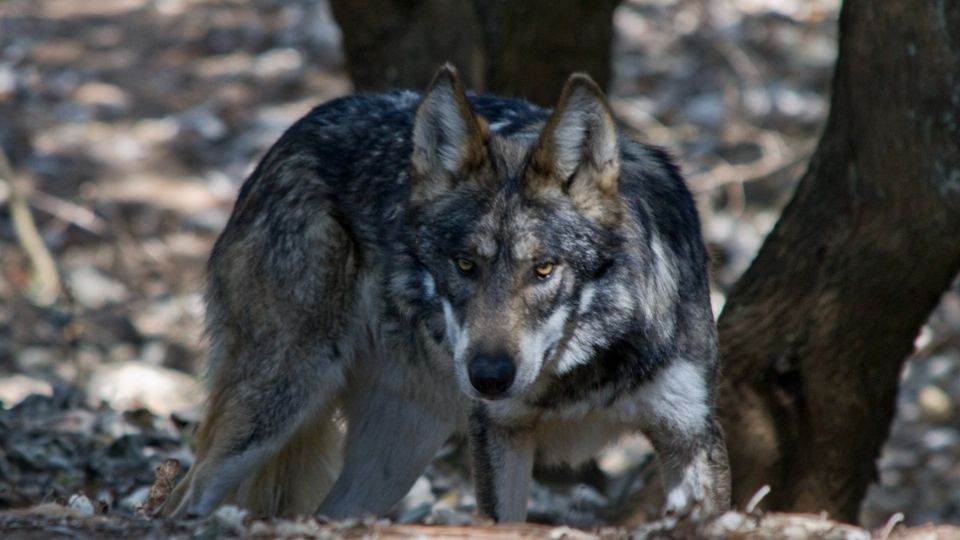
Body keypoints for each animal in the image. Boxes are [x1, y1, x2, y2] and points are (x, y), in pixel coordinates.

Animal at [161, 64, 732, 524]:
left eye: (544, 269)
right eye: (465, 265)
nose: (489, 377)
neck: (581, 373)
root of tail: (290, 135)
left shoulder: (692, 440)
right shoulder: (499, 437)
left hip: (393, 456)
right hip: (276, 403)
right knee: (183, 498)